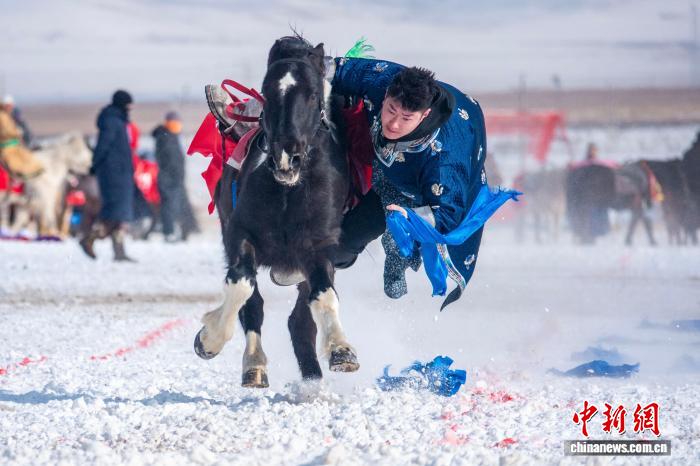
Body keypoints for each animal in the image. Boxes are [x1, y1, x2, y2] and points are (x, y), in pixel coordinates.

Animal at [193, 36, 359, 387]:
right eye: (266, 90)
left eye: (312, 93)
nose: (286, 158)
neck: (288, 192)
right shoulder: (240, 235)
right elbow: (242, 288)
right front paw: (208, 340)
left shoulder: (319, 246)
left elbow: (323, 296)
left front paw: (342, 351)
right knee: (254, 304)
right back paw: (254, 367)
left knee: (300, 320)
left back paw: (312, 380)